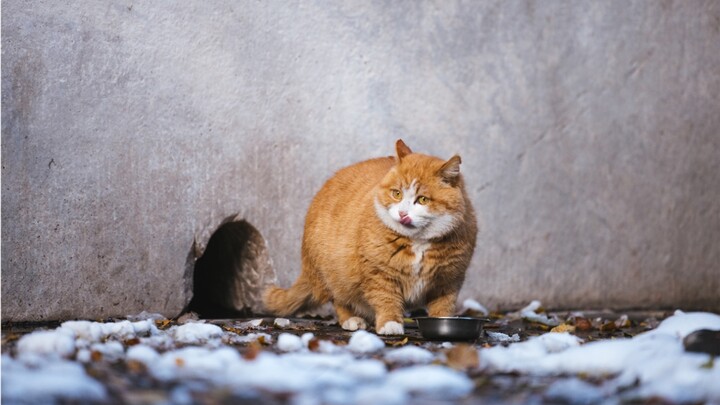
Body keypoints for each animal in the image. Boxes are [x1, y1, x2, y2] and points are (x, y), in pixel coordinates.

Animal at [262, 140, 476, 334]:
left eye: (422, 200)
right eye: (396, 194)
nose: (403, 214)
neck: (418, 242)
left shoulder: (449, 281)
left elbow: (443, 308)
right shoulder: (379, 273)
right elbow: (386, 299)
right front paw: (390, 324)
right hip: (334, 274)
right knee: (340, 300)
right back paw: (352, 320)